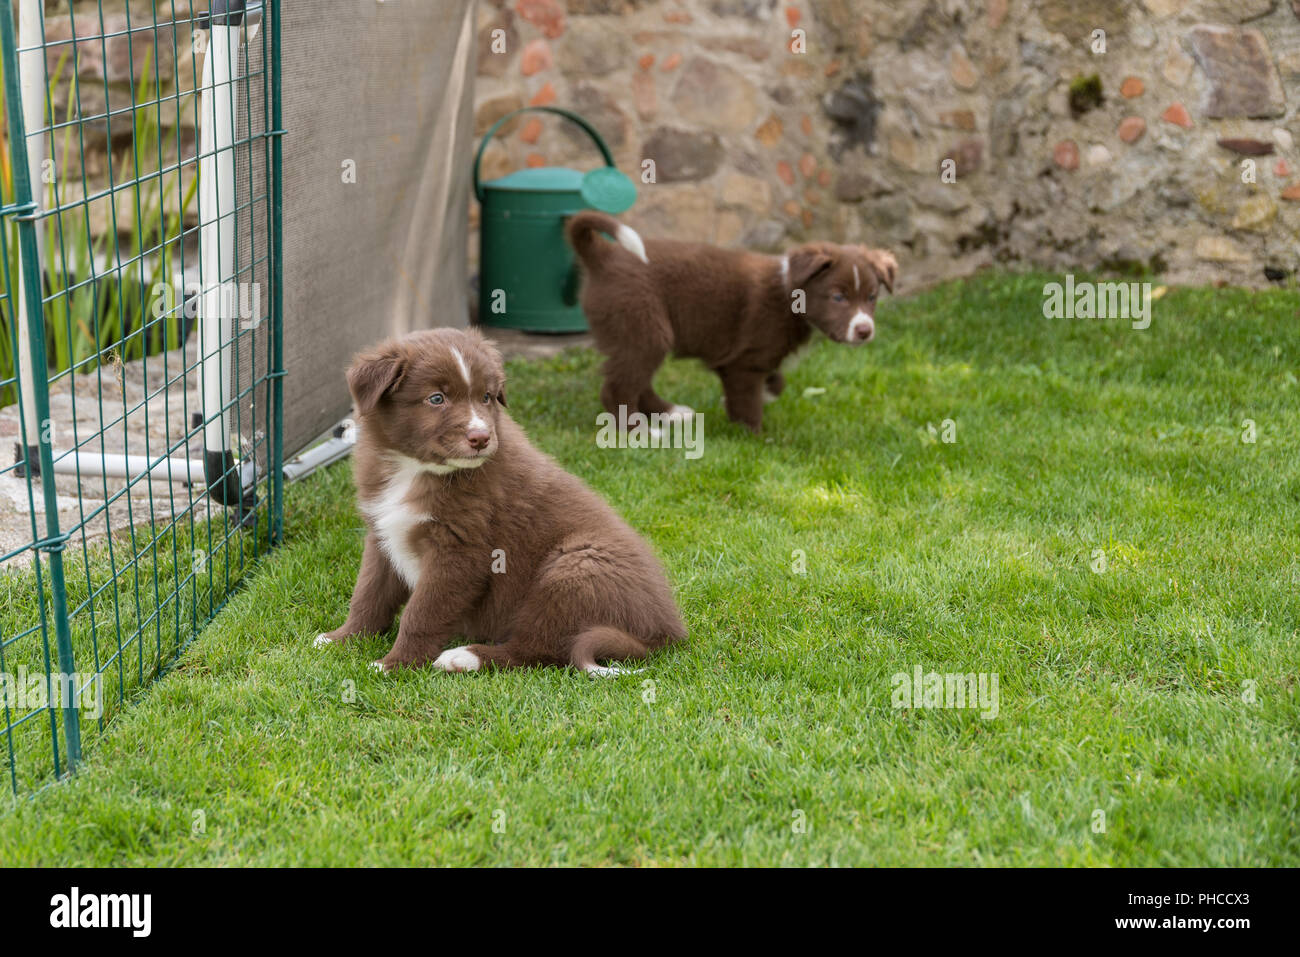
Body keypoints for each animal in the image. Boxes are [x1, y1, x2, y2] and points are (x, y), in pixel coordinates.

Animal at [313, 328, 686, 670]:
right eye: (436, 399)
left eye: (486, 397)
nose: (481, 438)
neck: (414, 469)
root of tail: (667, 633)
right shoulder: (383, 532)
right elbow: (368, 595)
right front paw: (342, 638)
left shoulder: (460, 550)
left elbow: (421, 612)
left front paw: (396, 663)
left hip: (573, 568)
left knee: (539, 648)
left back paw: (465, 657)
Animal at [569, 213, 894, 434]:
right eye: (838, 297)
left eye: (872, 296)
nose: (864, 331)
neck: (789, 293)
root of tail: (603, 255)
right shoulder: (743, 362)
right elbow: (747, 401)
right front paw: (753, 436)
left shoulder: (760, 356)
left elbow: (776, 381)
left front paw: (764, 394)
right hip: (642, 324)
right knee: (618, 387)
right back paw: (640, 432)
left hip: (639, 331)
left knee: (637, 379)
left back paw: (671, 413)